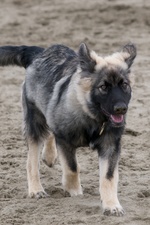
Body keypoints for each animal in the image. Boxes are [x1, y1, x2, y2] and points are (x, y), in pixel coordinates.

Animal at [0, 42, 136, 216]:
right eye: (103, 87)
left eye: (124, 85)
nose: (121, 109)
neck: (92, 116)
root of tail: (39, 53)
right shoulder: (65, 141)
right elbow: (72, 168)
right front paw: (73, 190)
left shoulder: (110, 145)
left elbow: (108, 176)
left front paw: (111, 205)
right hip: (34, 123)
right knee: (32, 161)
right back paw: (36, 189)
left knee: (49, 131)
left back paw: (49, 156)